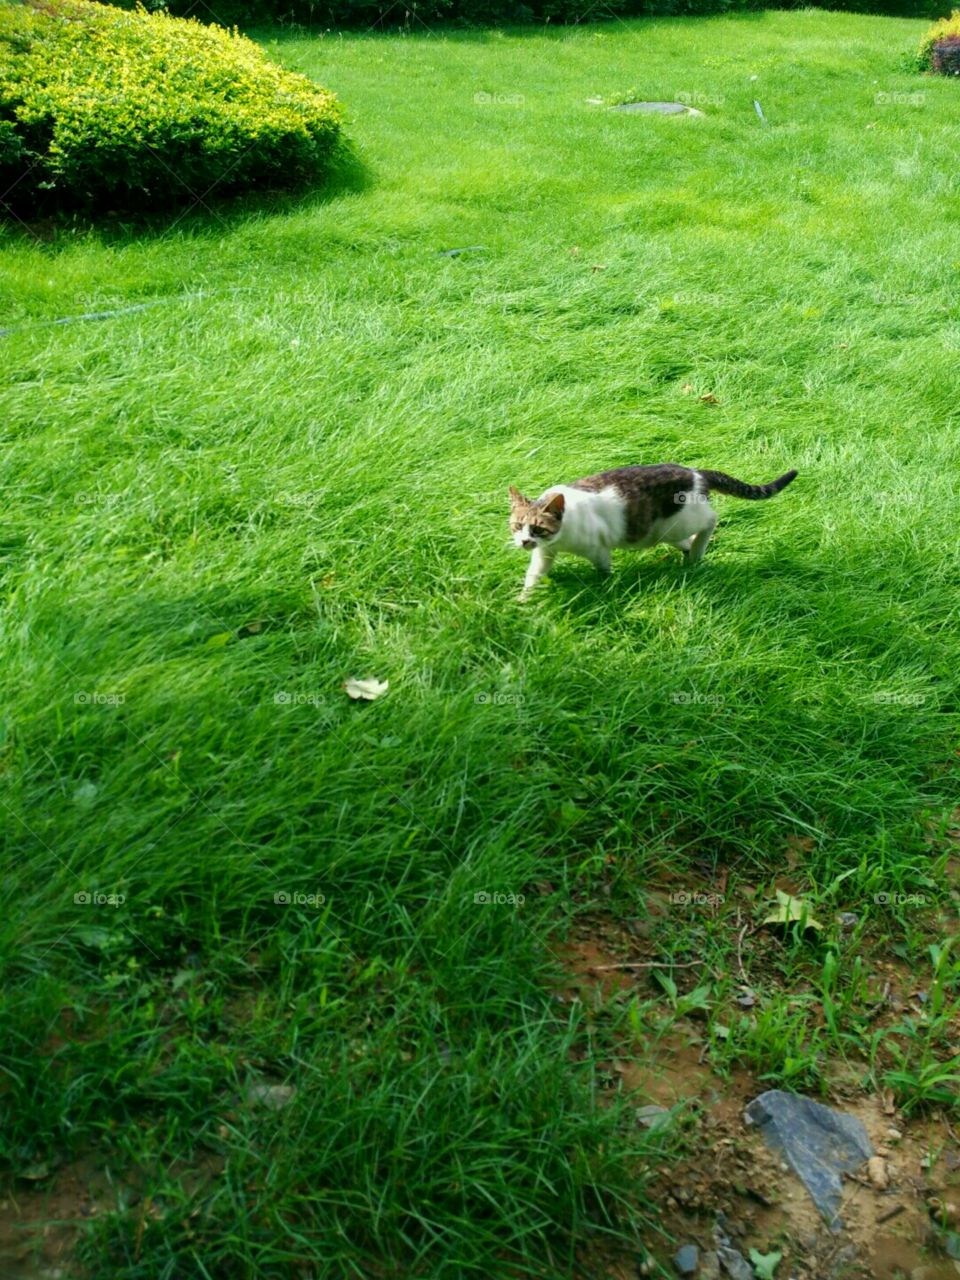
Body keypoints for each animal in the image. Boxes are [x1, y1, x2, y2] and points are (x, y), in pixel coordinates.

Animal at [512, 460, 798, 599]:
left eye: (537, 528)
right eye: (516, 526)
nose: (524, 542)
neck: (560, 537)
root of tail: (697, 473)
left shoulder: (598, 549)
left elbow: (603, 571)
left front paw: (605, 587)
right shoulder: (544, 554)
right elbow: (534, 574)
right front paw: (524, 601)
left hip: (680, 522)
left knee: (711, 519)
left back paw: (697, 553)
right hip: (664, 531)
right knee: (688, 541)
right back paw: (692, 556)